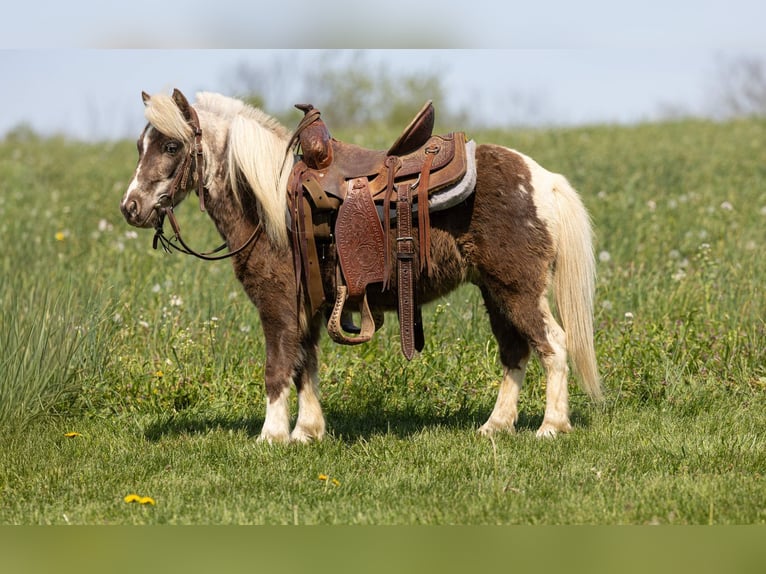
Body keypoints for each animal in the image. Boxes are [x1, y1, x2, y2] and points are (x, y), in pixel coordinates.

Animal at [120, 89, 602, 443]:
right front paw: (307, 432)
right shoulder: (308, 308)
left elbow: (277, 367)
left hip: (518, 290)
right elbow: (305, 365)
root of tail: (543, 181)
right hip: (495, 292)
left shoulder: (277, 303)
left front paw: (270, 436)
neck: (272, 205)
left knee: (554, 345)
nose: (131, 207)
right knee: (515, 352)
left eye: (171, 145)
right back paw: (495, 427)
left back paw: (550, 427)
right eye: (140, 146)